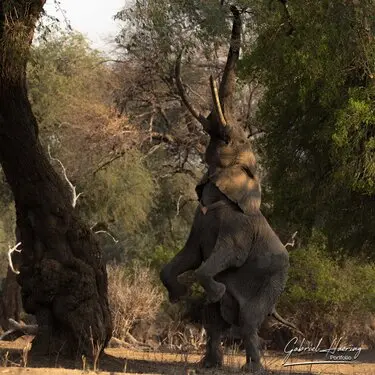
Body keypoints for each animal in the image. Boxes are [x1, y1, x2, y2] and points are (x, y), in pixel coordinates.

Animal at [160, 6, 296, 375]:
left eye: (231, 139)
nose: (233, 8)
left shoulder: (239, 229)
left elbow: (218, 260)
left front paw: (217, 288)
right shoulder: (198, 224)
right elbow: (188, 256)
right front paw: (179, 295)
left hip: (271, 283)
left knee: (248, 321)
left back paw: (252, 367)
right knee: (214, 321)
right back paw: (210, 364)